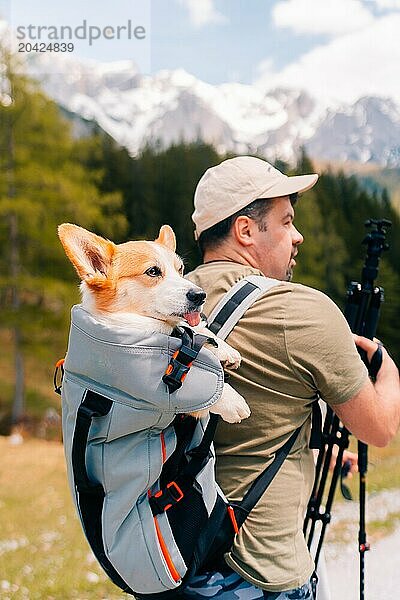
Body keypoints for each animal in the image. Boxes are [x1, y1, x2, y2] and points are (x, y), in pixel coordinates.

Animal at [57, 223, 250, 424]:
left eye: (180, 269)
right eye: (153, 271)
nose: (200, 295)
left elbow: (193, 327)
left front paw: (225, 350)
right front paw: (233, 401)